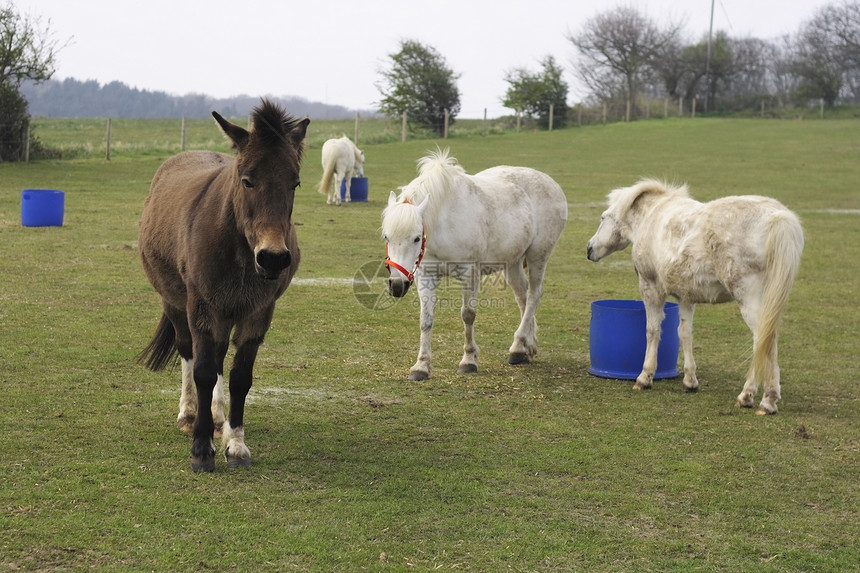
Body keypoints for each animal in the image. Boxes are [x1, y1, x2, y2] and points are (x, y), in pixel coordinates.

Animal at [382, 149, 568, 380]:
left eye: (417, 238)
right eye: (387, 237)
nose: (397, 285)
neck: (444, 222)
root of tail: (552, 183)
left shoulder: (470, 273)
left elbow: (468, 316)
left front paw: (469, 360)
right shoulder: (425, 275)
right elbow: (426, 319)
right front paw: (421, 365)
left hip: (538, 255)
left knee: (534, 294)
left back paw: (518, 345)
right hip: (512, 261)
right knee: (522, 296)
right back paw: (524, 347)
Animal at [588, 178, 804, 412]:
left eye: (603, 217)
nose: (589, 248)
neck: (651, 218)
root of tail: (776, 216)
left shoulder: (650, 288)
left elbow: (652, 330)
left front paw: (644, 378)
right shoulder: (686, 297)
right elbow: (685, 333)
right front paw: (690, 381)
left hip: (749, 299)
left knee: (762, 341)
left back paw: (755, 398)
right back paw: (767, 399)